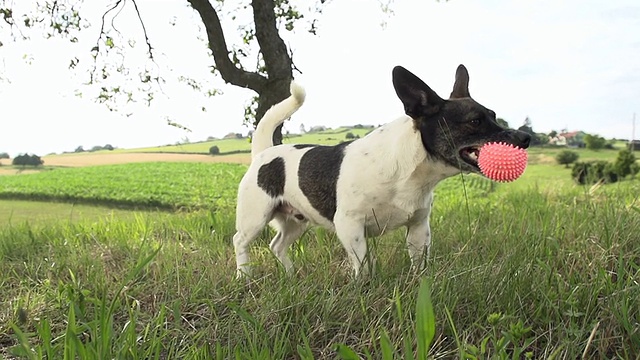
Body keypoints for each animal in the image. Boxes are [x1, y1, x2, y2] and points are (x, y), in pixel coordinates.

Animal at [232, 64, 532, 278]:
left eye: (493, 115)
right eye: (474, 122)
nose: (526, 137)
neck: (411, 170)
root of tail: (264, 152)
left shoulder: (418, 228)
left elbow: (418, 262)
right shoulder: (350, 226)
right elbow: (363, 264)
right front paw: (363, 287)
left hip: (297, 220)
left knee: (277, 245)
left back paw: (291, 275)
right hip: (255, 216)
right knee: (240, 241)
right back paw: (244, 276)